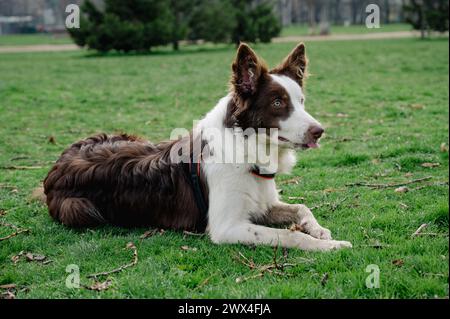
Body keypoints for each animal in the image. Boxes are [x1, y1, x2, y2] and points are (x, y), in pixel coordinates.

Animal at [43, 43, 352, 252]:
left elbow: (301, 207)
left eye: (301, 101)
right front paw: (331, 246)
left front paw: (320, 231)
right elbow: (290, 235)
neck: (246, 147)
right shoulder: (227, 227)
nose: (319, 131)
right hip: (78, 208)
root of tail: (58, 164)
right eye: (278, 103)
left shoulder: (263, 205)